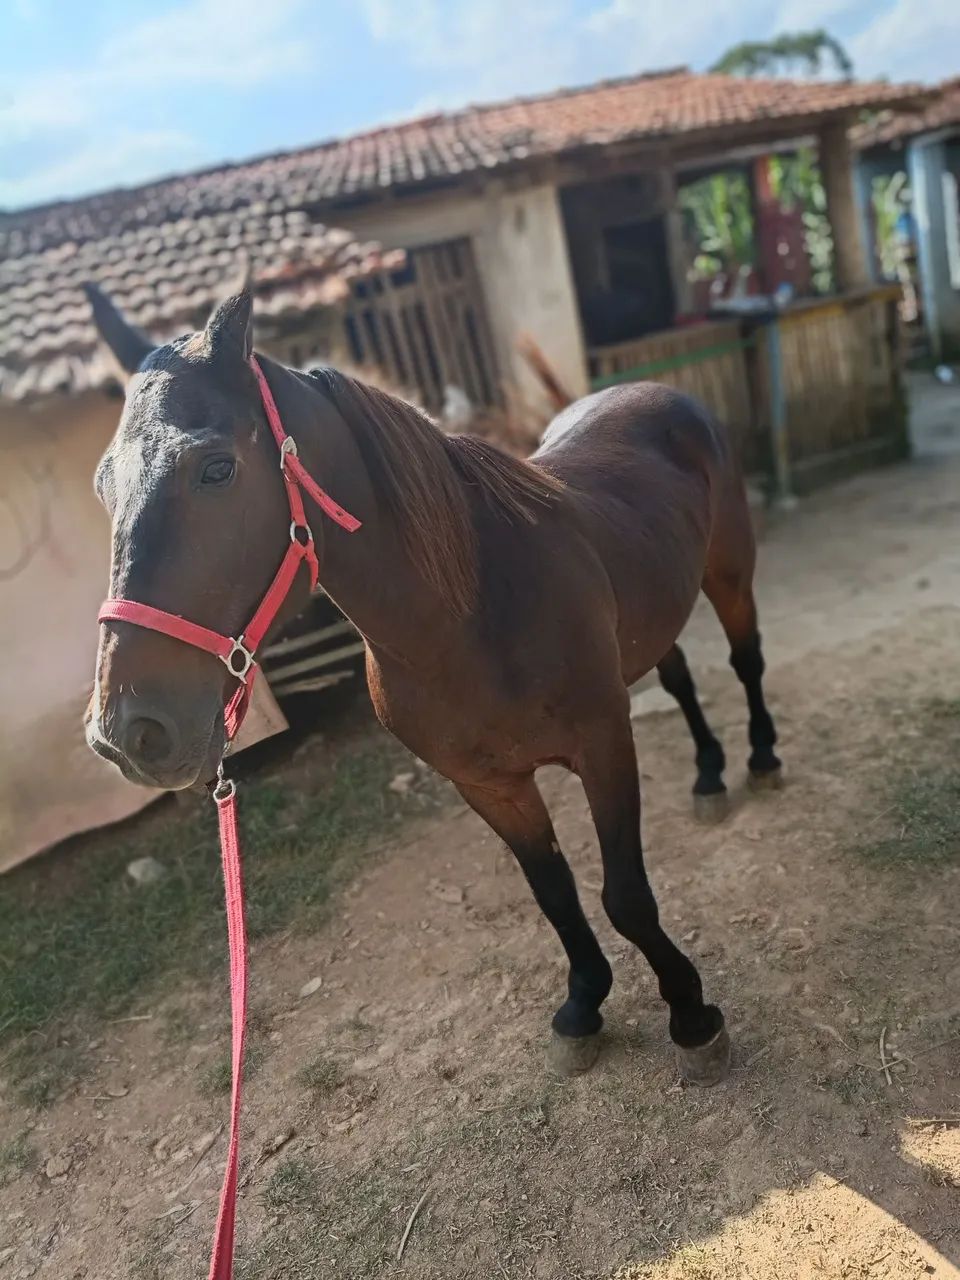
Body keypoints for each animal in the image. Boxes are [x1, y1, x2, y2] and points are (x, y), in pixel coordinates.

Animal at [84, 284, 781, 1085]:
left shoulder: (604, 744)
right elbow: (555, 895)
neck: (469, 612)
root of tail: (653, 392)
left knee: (746, 663)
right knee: (680, 679)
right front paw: (585, 1003)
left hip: (728, 575)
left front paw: (691, 1015)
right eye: (104, 484)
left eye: (217, 468)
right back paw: (708, 775)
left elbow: (626, 897)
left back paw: (761, 759)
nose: (125, 732)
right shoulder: (487, 785)